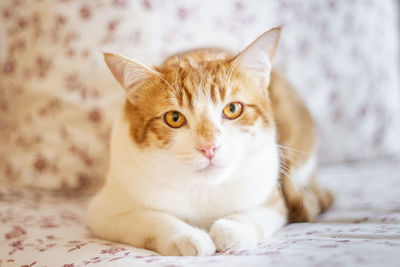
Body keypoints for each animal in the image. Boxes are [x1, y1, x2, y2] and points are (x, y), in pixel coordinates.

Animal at [88, 27, 334, 258]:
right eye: (174, 118)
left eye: (232, 109)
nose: (209, 147)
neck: (203, 190)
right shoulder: (104, 213)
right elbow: (148, 217)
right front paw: (185, 235)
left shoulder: (274, 200)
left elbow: (259, 215)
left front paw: (231, 229)